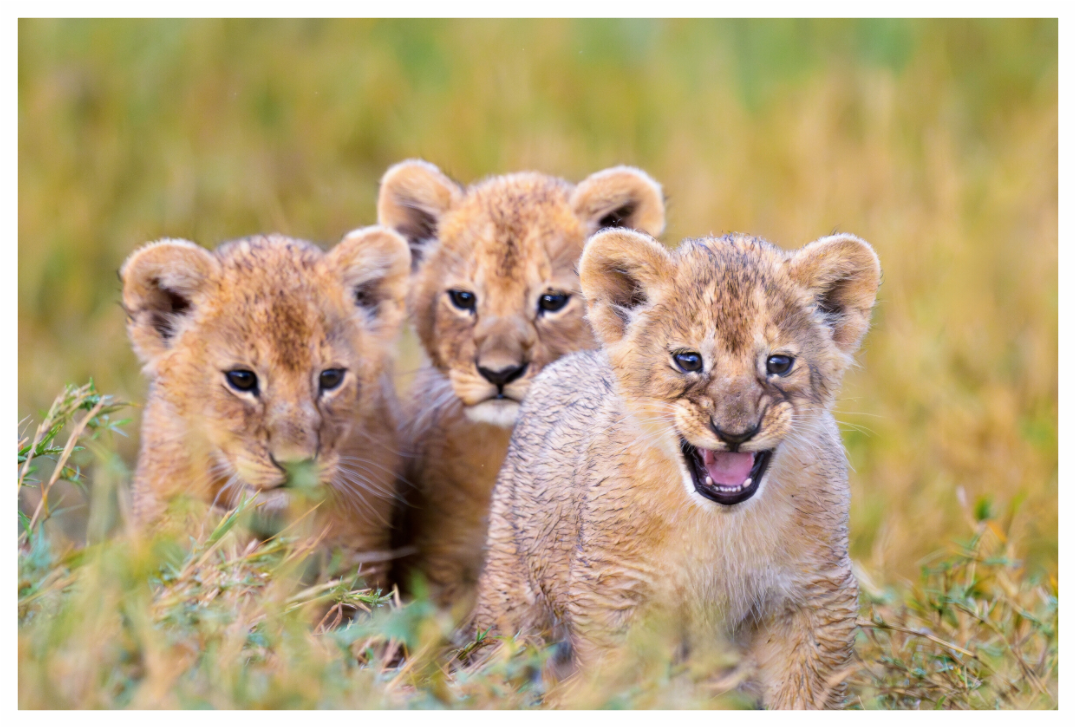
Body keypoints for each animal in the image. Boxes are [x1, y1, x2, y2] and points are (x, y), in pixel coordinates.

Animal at [471, 228, 881, 708]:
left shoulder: (815, 595)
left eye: (779, 363)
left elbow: (804, 695)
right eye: (689, 360)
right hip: (512, 597)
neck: (720, 527)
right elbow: (622, 687)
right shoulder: (613, 592)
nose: (735, 431)